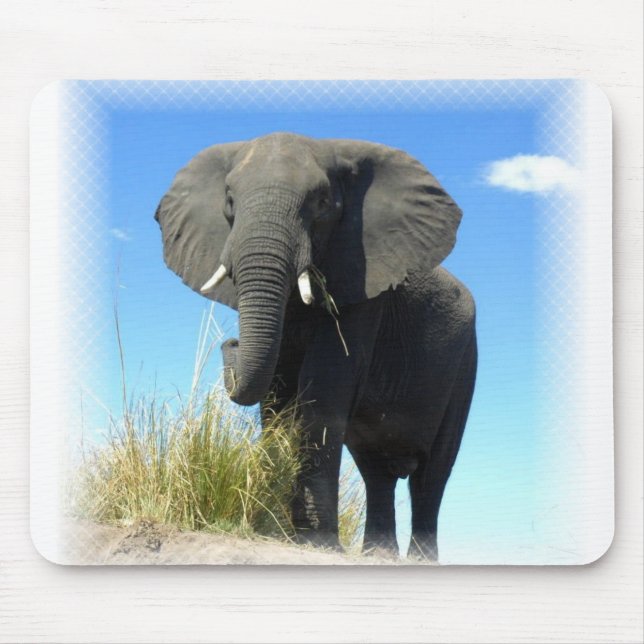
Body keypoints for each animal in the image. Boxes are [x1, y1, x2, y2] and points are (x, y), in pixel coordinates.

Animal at [155, 132, 477, 561]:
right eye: (229, 201)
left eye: (323, 203)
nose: (231, 341)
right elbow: (276, 396)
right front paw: (277, 532)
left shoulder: (363, 285)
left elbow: (323, 391)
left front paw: (315, 542)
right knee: (376, 470)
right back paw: (377, 556)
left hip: (464, 362)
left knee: (432, 473)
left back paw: (417, 560)